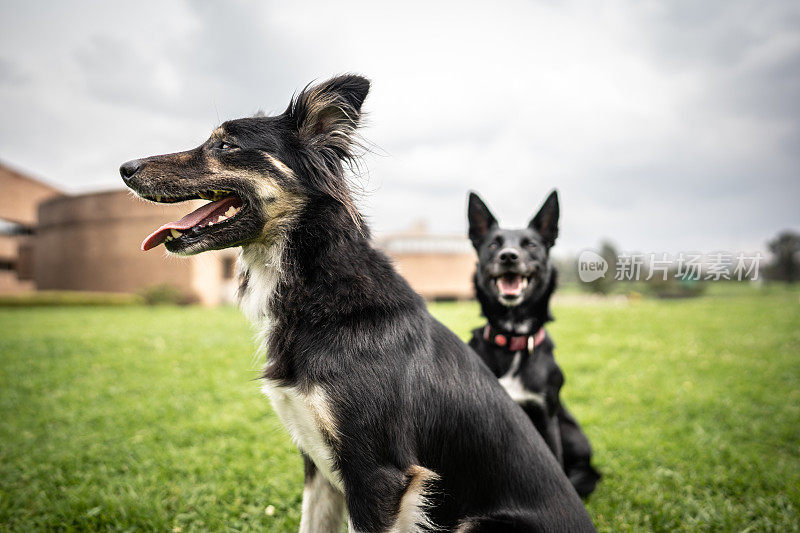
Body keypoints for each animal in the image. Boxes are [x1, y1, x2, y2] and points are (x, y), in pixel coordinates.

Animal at [468, 191, 600, 498]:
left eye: (531, 245)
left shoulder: (545, 418)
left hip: (570, 429)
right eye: (493, 244)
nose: (508, 256)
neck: (513, 341)